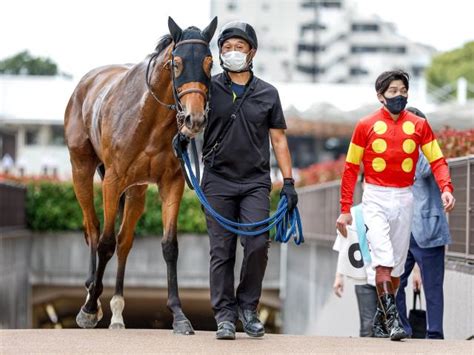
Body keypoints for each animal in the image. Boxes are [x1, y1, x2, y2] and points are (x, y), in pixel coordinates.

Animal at [62, 16, 217, 334]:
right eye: (176, 63)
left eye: (210, 63)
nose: (194, 118)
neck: (148, 119)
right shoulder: (113, 179)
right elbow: (105, 242)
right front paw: (88, 308)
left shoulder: (172, 183)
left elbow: (169, 246)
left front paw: (179, 315)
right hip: (80, 167)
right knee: (93, 229)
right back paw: (91, 295)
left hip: (137, 190)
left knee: (125, 241)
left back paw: (117, 311)